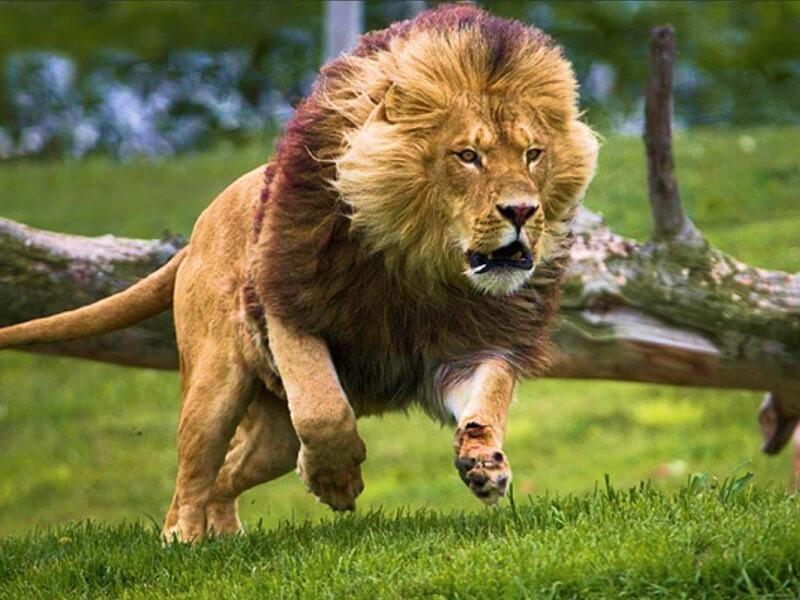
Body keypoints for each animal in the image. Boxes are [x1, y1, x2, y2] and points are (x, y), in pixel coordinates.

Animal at [0, 5, 597, 542]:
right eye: (467, 155)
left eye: (533, 154)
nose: (521, 211)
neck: (423, 267)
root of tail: (196, 233)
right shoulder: (290, 308)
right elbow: (323, 409)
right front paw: (332, 480)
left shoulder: (470, 344)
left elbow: (487, 399)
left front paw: (484, 463)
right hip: (213, 385)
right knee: (194, 472)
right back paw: (183, 540)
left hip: (271, 436)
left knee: (230, 471)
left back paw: (225, 534)